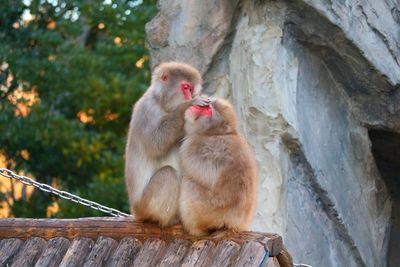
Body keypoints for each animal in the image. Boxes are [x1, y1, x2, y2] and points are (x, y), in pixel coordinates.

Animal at [125, 61, 208, 227]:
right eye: (186, 87)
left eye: (191, 89)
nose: (190, 96)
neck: (162, 103)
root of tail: (135, 211)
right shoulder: (146, 110)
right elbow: (154, 144)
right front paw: (186, 107)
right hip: (144, 205)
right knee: (167, 174)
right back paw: (168, 219)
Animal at [180, 99, 258, 237]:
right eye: (206, 104)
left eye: (208, 109)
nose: (197, 106)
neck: (215, 133)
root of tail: (231, 224)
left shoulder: (193, 146)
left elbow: (197, 172)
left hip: (204, 211)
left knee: (189, 183)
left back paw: (195, 230)